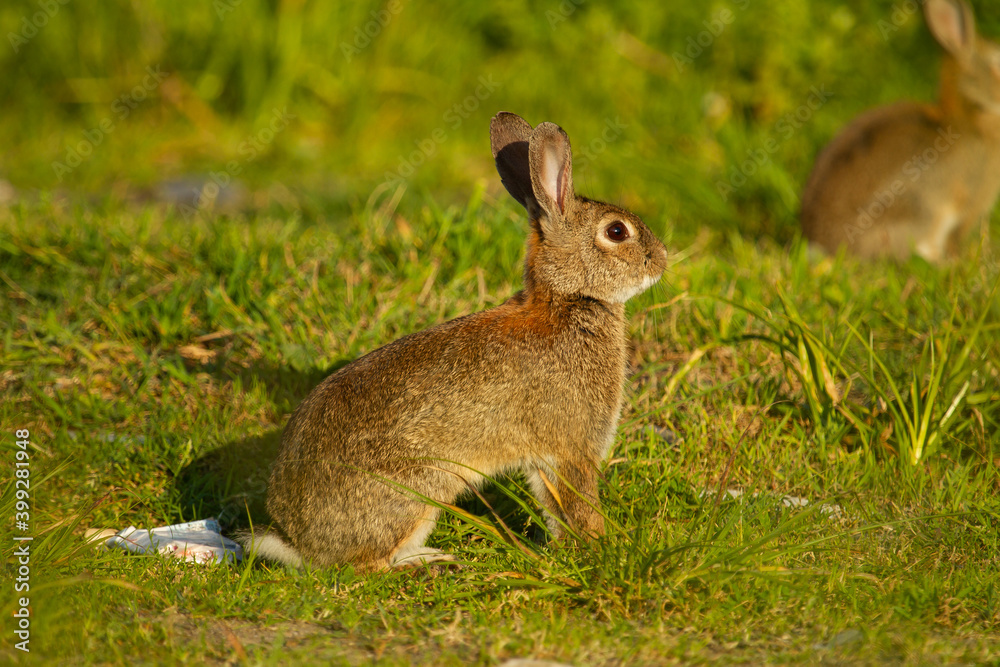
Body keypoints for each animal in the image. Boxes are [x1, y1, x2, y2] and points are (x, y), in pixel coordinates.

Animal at [241, 112, 669, 572]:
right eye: (616, 231)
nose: (663, 258)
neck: (566, 300)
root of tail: (299, 543)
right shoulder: (571, 447)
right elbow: (578, 505)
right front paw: (600, 547)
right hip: (419, 488)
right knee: (366, 565)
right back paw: (428, 559)